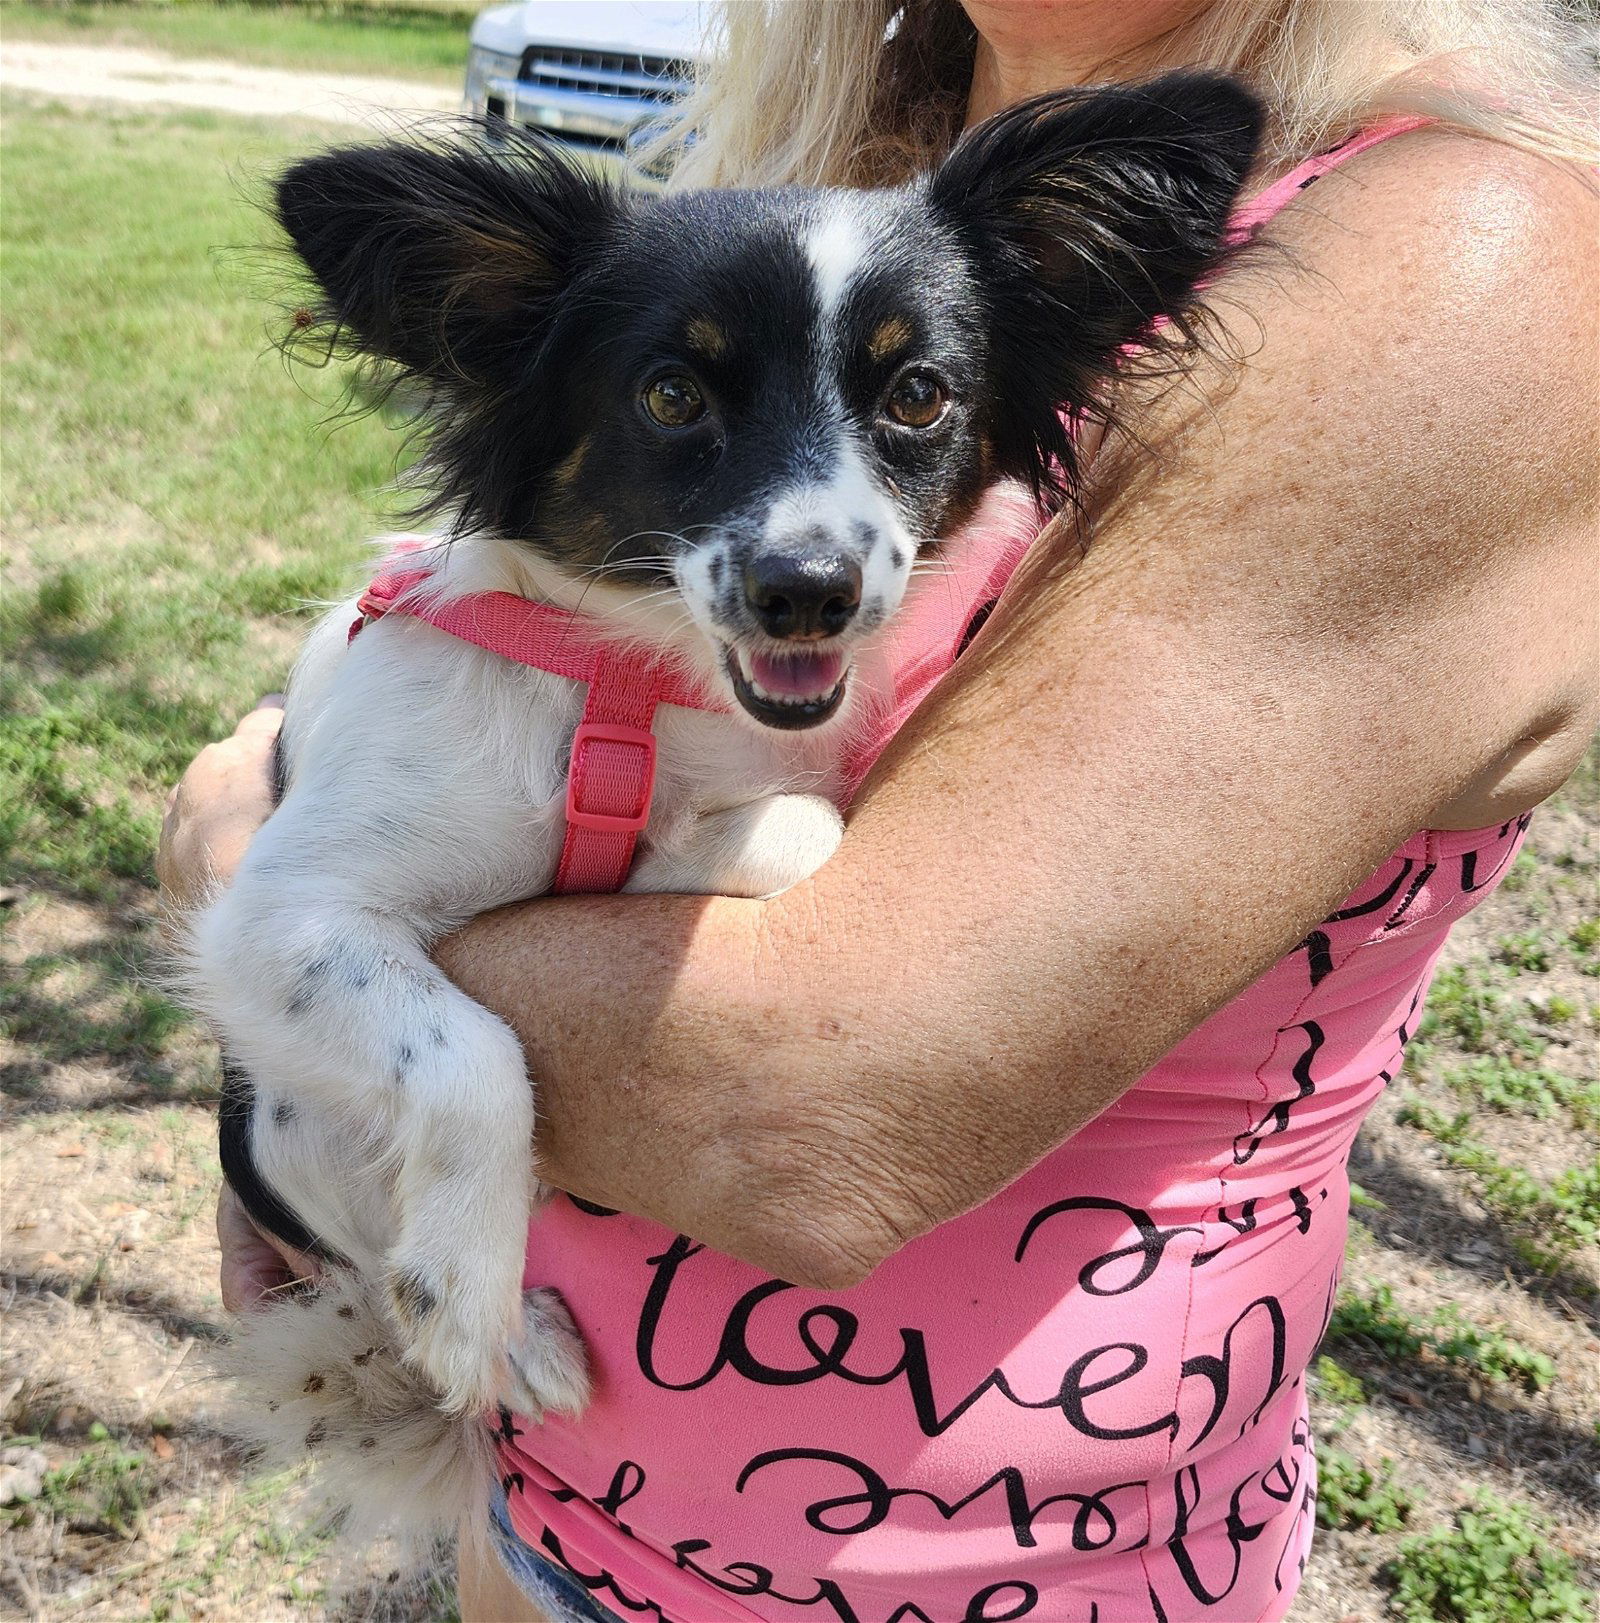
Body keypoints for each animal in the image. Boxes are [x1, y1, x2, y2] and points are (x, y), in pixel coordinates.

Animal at [187, 76, 1259, 1545]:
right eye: (670, 392)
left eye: (918, 393)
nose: (805, 591)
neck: (628, 695)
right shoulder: (276, 917)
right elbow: (469, 1053)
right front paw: (464, 1293)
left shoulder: (774, 794)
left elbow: (796, 826)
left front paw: (664, 864)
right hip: (277, 1123)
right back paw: (510, 1334)